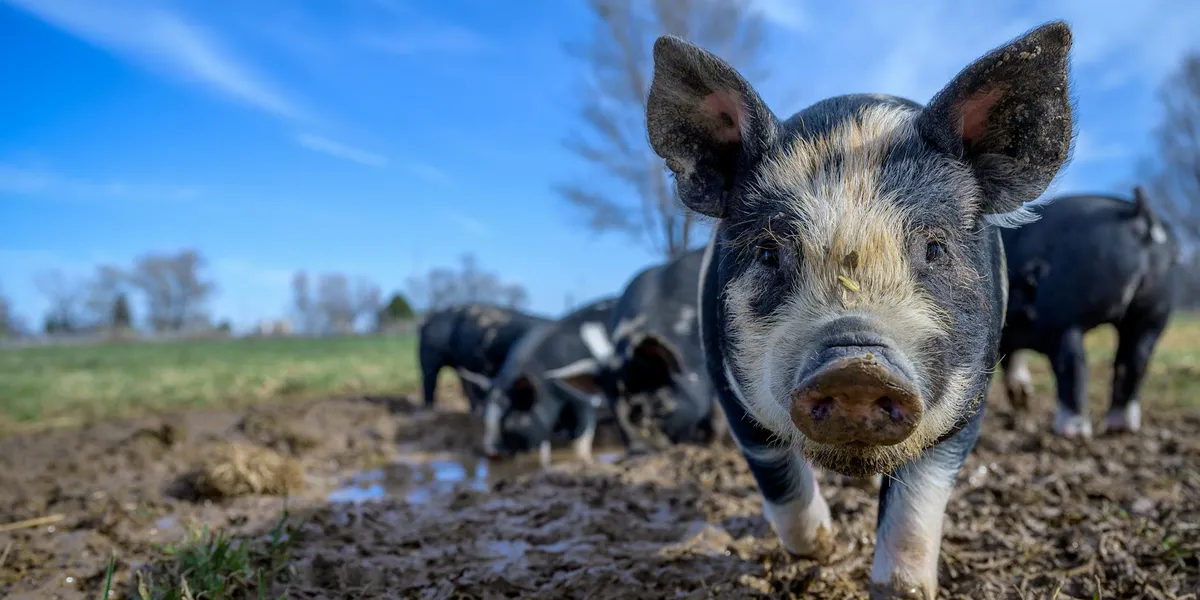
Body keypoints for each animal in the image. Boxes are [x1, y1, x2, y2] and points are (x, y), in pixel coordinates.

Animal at [480, 297, 619, 463]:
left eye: (509, 422)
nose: (491, 453)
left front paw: (585, 459)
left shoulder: (584, 399)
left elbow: (582, 435)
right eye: (484, 417)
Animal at [645, 21, 1075, 599]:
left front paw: (902, 589)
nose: (856, 367)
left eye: (934, 248)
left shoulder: (971, 392)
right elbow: (779, 478)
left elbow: (917, 500)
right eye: (768, 252)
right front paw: (820, 549)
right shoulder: (725, 380)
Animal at [998, 186, 1181, 437]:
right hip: (1152, 315)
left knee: (1074, 365)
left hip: (1064, 318)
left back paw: (1071, 432)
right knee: (1134, 361)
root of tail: (1140, 214)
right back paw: (1120, 428)